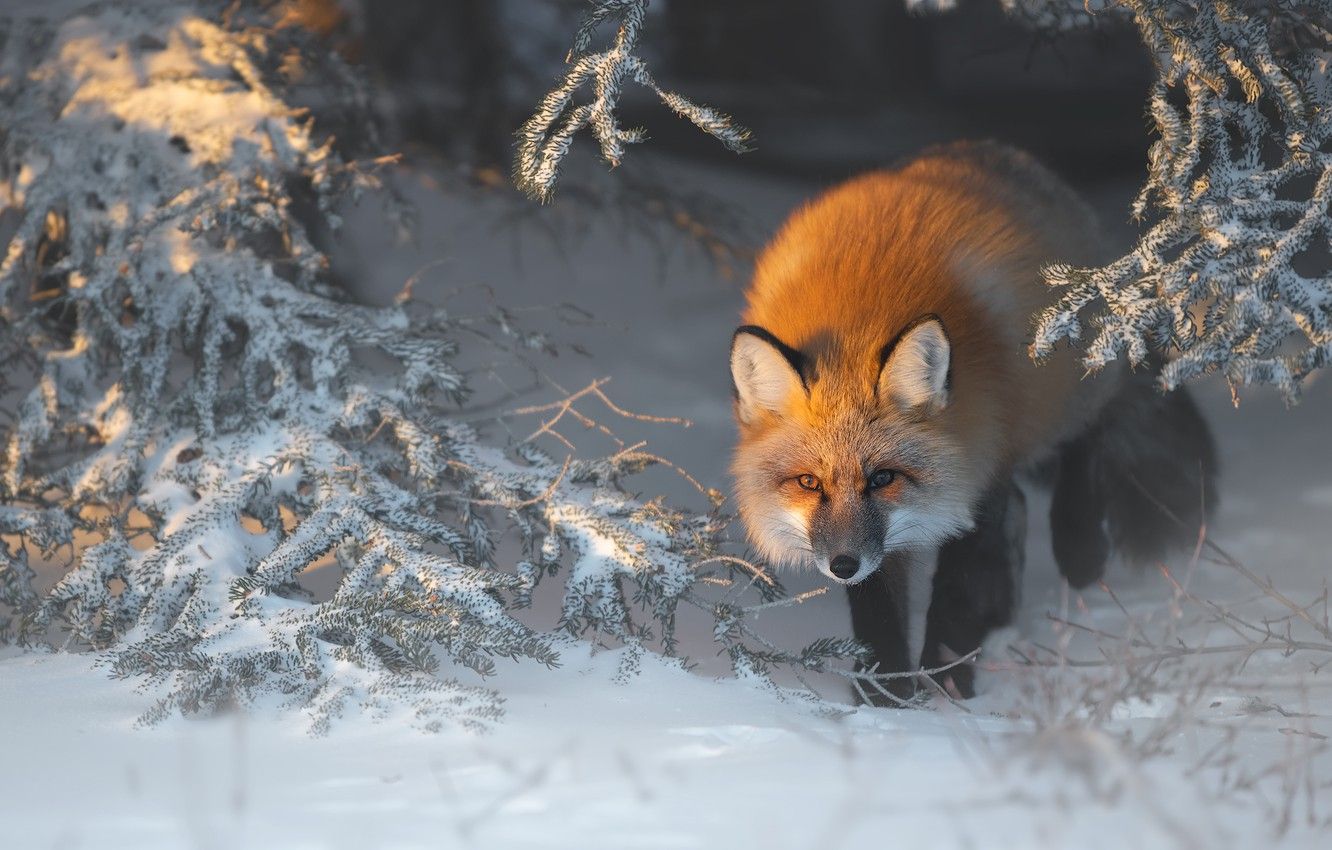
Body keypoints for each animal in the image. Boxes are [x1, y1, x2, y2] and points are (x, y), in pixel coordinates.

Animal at [729, 141, 1220, 698]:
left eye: (883, 478)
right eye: (809, 483)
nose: (842, 565)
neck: (857, 316)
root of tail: (995, 152)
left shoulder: (980, 474)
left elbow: (958, 593)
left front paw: (947, 685)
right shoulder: (890, 539)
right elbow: (880, 615)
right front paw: (885, 697)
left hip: (1064, 391)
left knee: (1086, 441)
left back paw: (1080, 548)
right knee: (1024, 508)